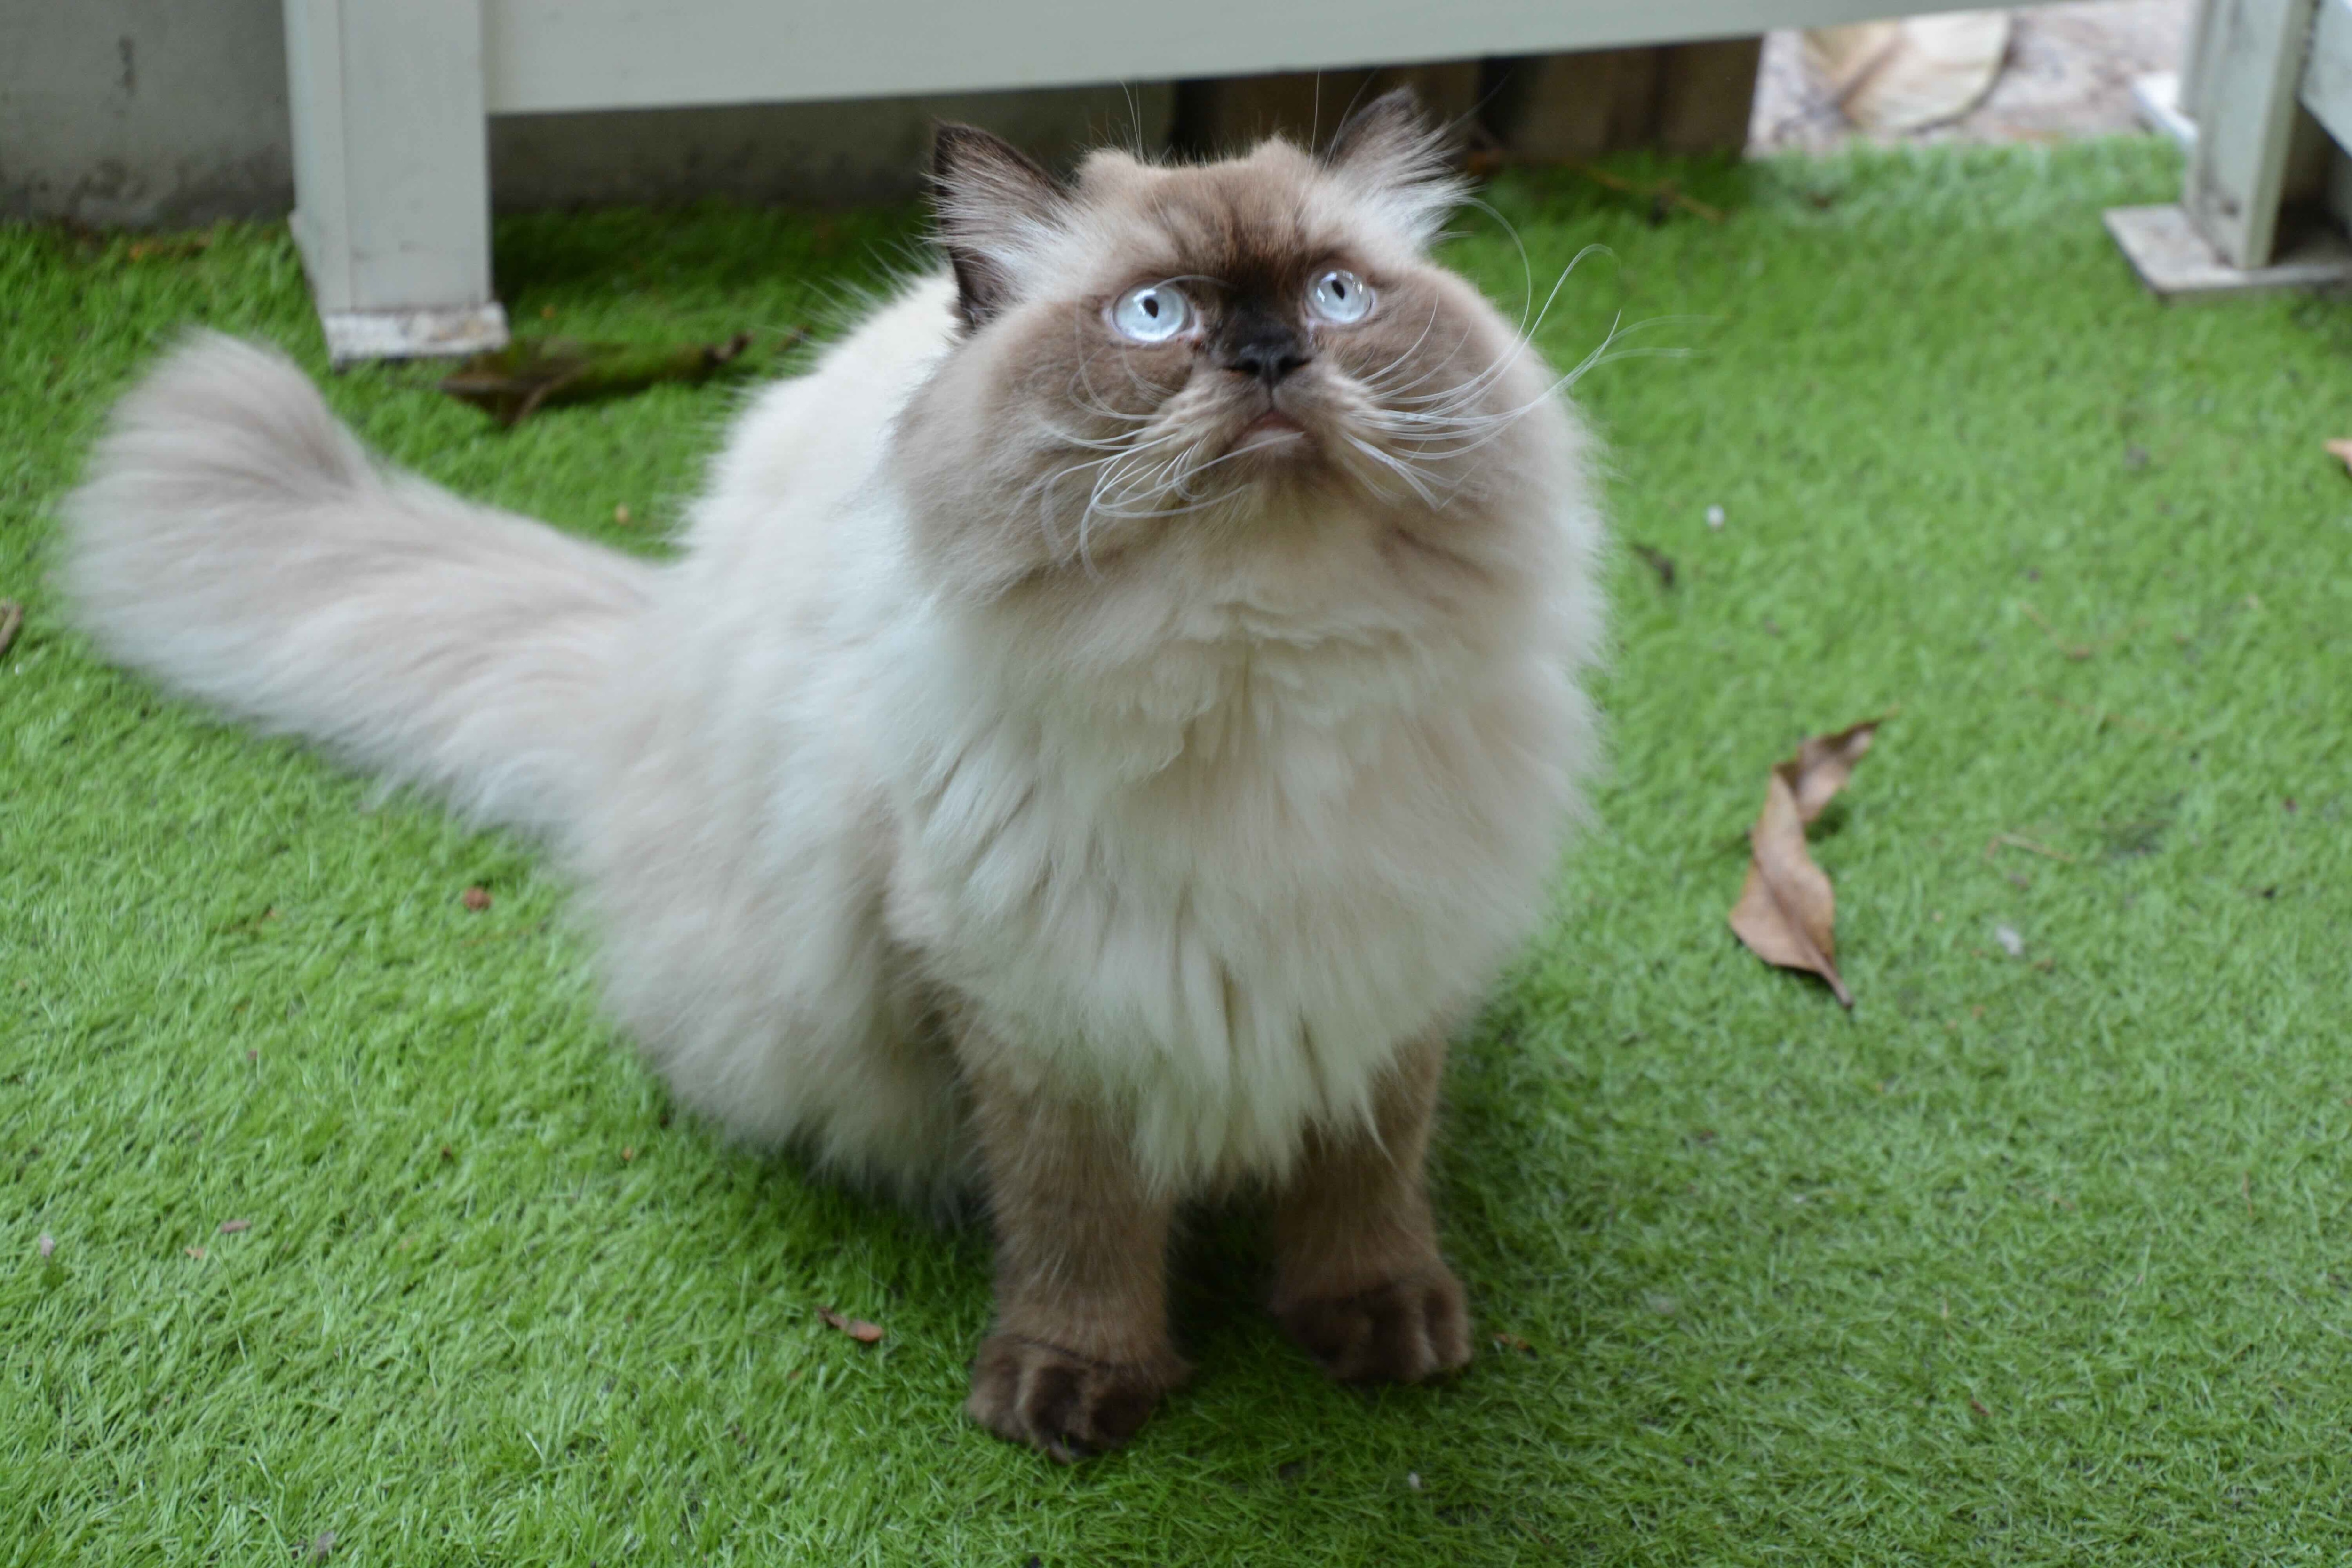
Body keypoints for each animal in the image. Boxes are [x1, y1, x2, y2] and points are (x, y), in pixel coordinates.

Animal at [64, 92, 1609, 1467]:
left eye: (1339, 294)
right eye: (1155, 317)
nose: (1275, 350)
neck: (1257, 682)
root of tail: (647, 657)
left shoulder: (1383, 963)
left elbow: (1366, 1173)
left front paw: (1380, 1323)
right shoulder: (1031, 1010)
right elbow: (1078, 1226)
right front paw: (1074, 1390)